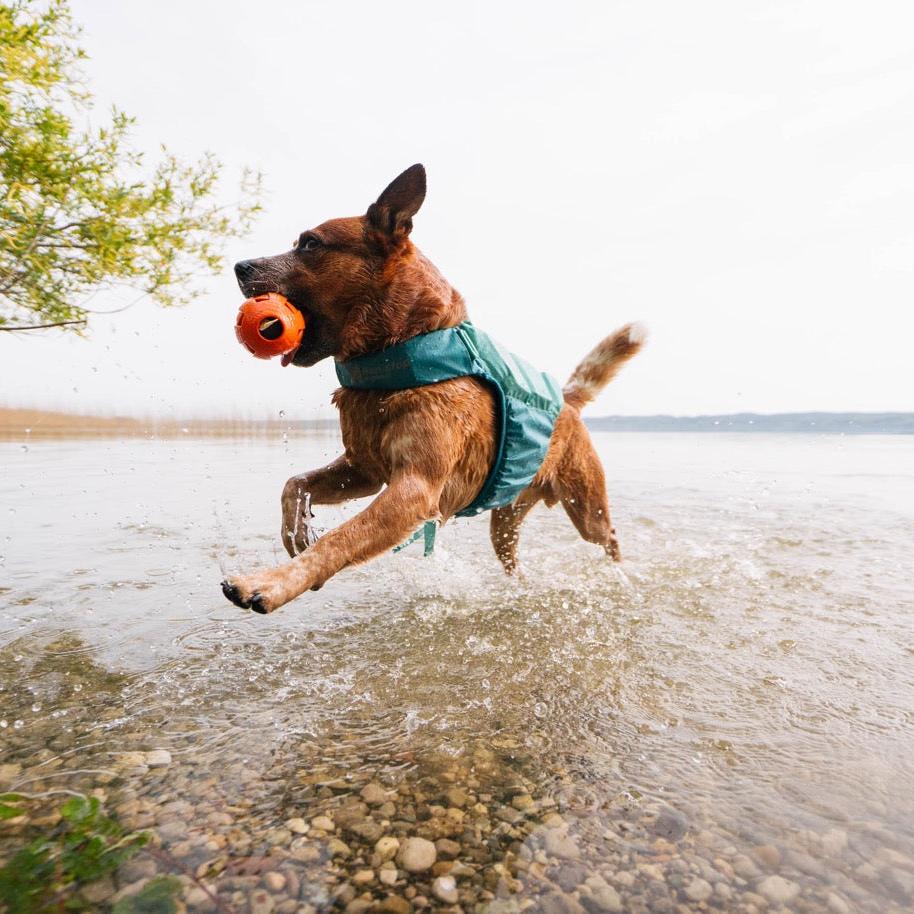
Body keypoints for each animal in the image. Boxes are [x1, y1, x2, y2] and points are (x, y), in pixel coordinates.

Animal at [221, 164, 640, 612]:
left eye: (310, 243)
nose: (240, 266)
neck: (402, 353)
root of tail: (567, 399)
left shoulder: (414, 489)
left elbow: (338, 541)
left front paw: (269, 583)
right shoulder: (364, 470)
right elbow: (294, 484)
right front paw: (296, 530)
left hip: (586, 507)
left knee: (609, 537)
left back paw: (621, 576)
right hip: (505, 521)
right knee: (514, 559)